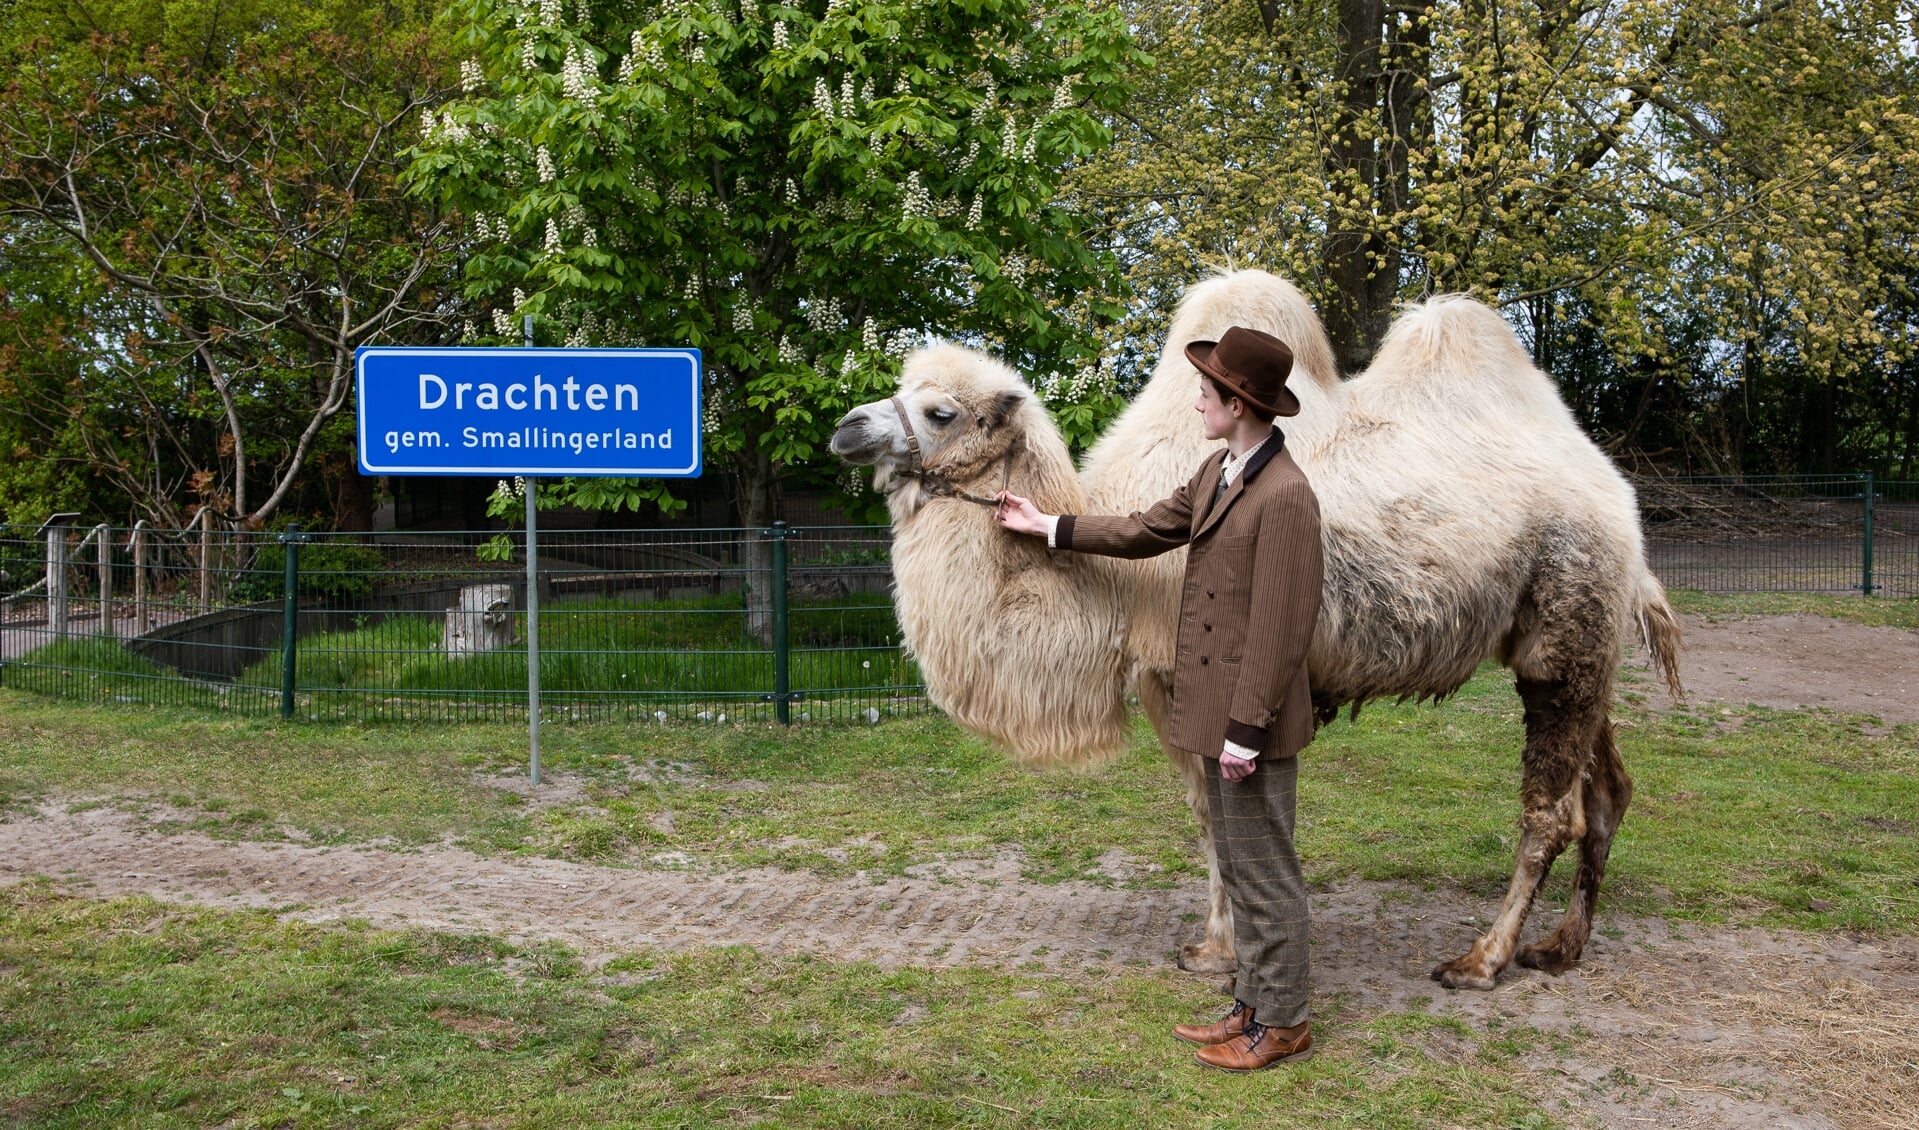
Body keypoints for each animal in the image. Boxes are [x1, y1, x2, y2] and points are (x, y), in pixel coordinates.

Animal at [829, 266, 1681, 989]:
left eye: (940, 412)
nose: (845, 429)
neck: (1102, 593)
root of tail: (1618, 498)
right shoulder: (1162, 685)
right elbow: (1208, 820)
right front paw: (1214, 946)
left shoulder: (1189, 677)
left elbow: (1222, 819)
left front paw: (1230, 953)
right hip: (1575, 640)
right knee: (1607, 788)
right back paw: (1560, 946)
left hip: (1567, 618)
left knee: (1550, 810)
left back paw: (1482, 959)